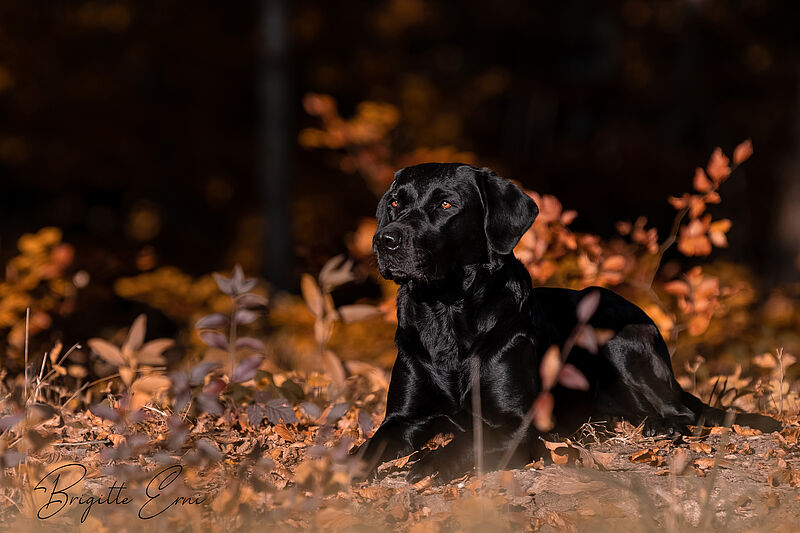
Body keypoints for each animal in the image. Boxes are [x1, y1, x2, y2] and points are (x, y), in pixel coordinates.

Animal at [354, 163, 780, 482]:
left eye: (445, 204)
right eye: (395, 202)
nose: (385, 240)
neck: (446, 315)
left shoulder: (517, 422)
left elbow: (467, 442)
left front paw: (429, 463)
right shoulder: (402, 417)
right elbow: (368, 448)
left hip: (621, 335)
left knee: (684, 413)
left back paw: (665, 427)